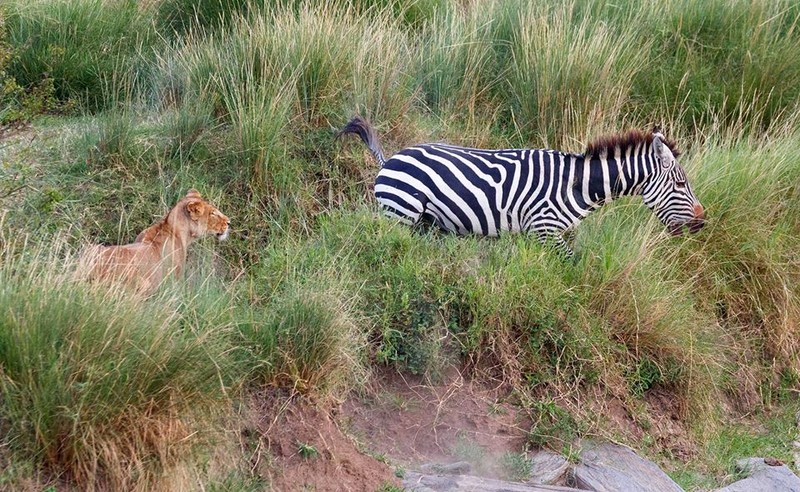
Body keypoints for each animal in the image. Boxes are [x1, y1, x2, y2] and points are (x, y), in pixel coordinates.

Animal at [340, 116, 704, 258]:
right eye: (681, 183)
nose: (703, 221)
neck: (578, 186)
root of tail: (389, 159)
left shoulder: (539, 236)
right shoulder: (544, 230)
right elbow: (574, 266)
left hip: (422, 221)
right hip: (399, 214)